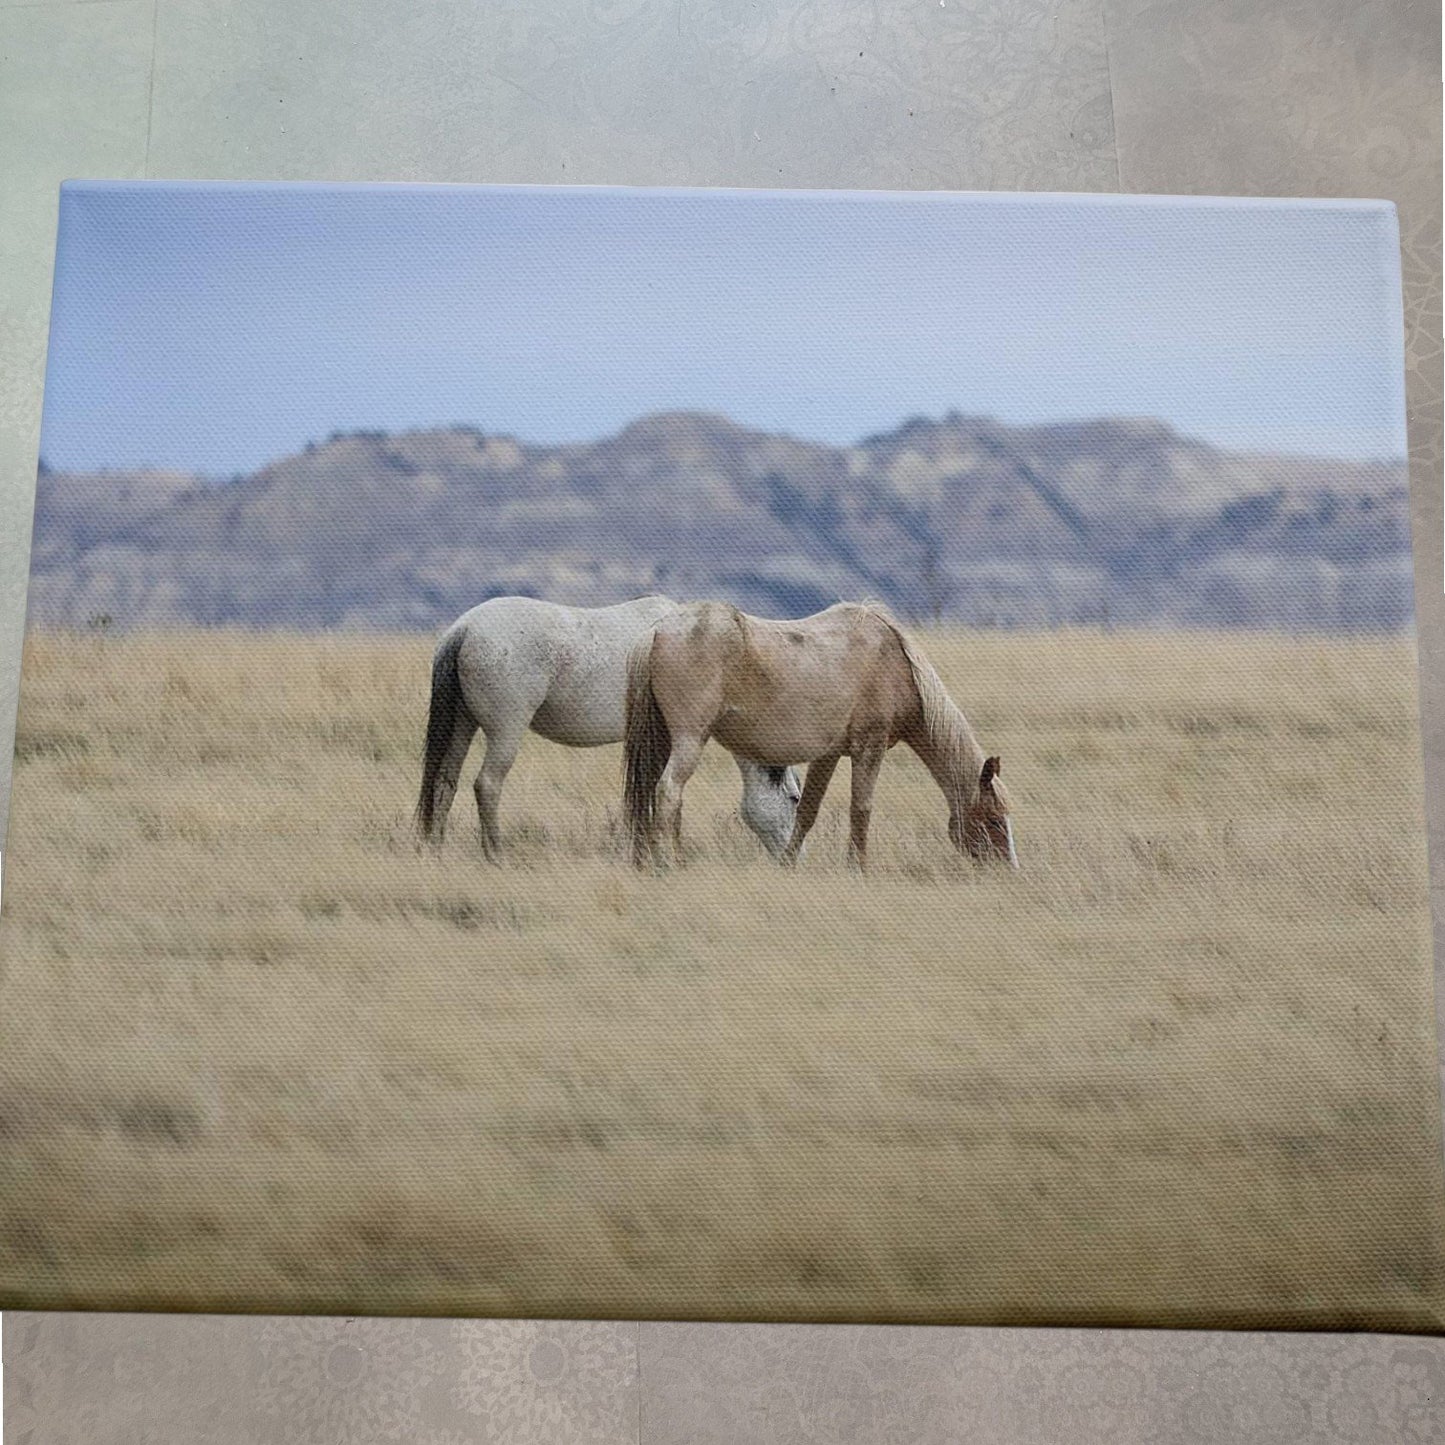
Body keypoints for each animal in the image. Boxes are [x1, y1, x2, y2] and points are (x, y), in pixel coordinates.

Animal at [415, 595, 802, 859]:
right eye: (794, 798)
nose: (793, 854)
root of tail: (464, 629)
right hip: (506, 730)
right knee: (487, 785)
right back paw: (496, 852)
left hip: (462, 724)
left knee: (444, 782)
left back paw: (434, 847)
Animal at [623, 600, 1015, 871]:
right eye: (995, 819)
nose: (1008, 870)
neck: (895, 665)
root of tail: (657, 632)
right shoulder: (869, 748)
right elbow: (861, 809)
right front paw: (858, 868)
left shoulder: (828, 755)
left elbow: (808, 810)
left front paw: (788, 864)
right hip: (689, 740)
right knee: (669, 792)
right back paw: (668, 862)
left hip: (663, 741)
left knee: (649, 793)